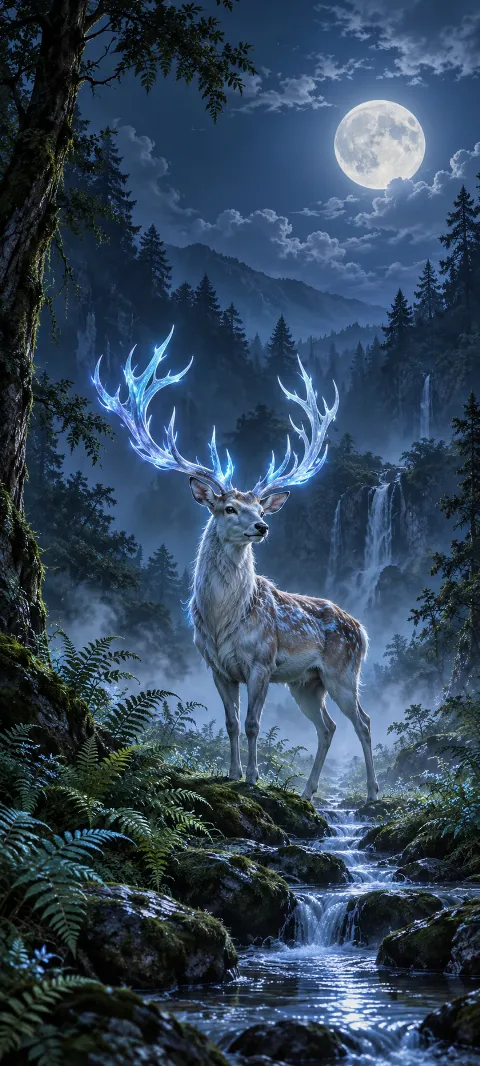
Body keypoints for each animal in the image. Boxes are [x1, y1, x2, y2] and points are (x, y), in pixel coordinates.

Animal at [94, 327, 379, 802]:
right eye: (228, 508)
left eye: (258, 507)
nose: (262, 525)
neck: (223, 618)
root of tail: (362, 628)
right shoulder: (215, 665)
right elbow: (229, 723)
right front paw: (230, 774)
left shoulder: (262, 661)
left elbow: (252, 723)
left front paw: (253, 778)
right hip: (307, 682)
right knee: (328, 727)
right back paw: (308, 791)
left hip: (343, 671)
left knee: (364, 720)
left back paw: (373, 791)